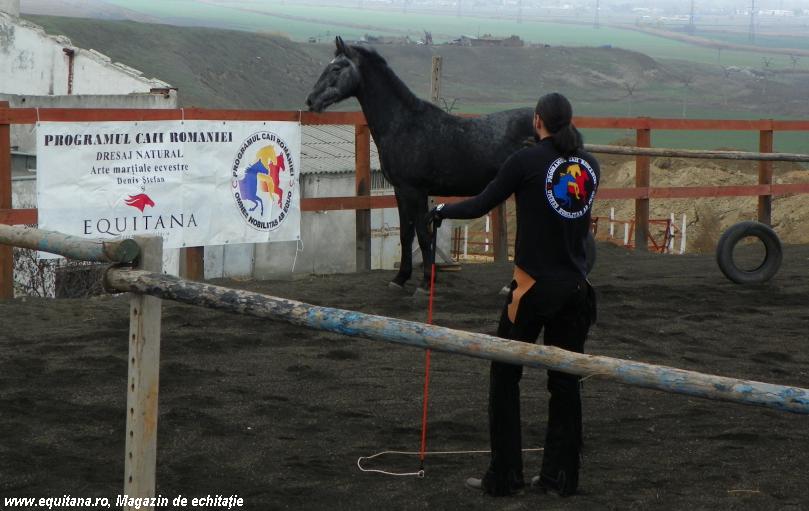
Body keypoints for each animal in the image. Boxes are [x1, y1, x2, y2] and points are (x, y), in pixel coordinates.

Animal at [306, 37, 532, 292]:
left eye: (336, 68)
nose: (311, 100)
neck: (404, 124)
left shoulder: (416, 191)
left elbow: (424, 236)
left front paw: (425, 282)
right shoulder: (400, 190)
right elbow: (406, 234)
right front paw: (400, 278)